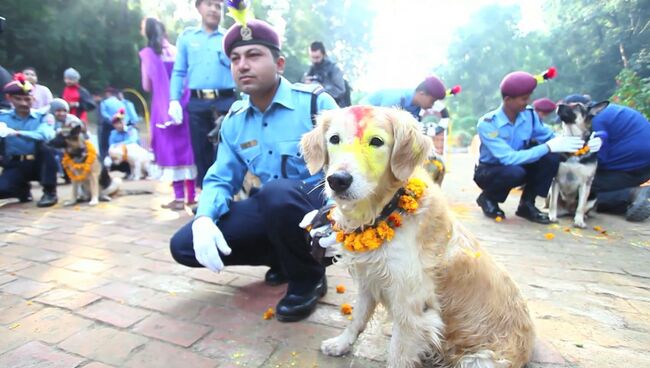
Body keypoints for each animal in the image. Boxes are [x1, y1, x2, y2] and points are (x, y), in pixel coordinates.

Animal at [298, 106, 532, 368]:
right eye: (334, 139)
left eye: (376, 141)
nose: (338, 180)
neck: (384, 211)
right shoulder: (368, 280)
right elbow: (357, 318)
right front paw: (341, 344)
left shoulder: (411, 308)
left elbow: (398, 355)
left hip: (479, 360)